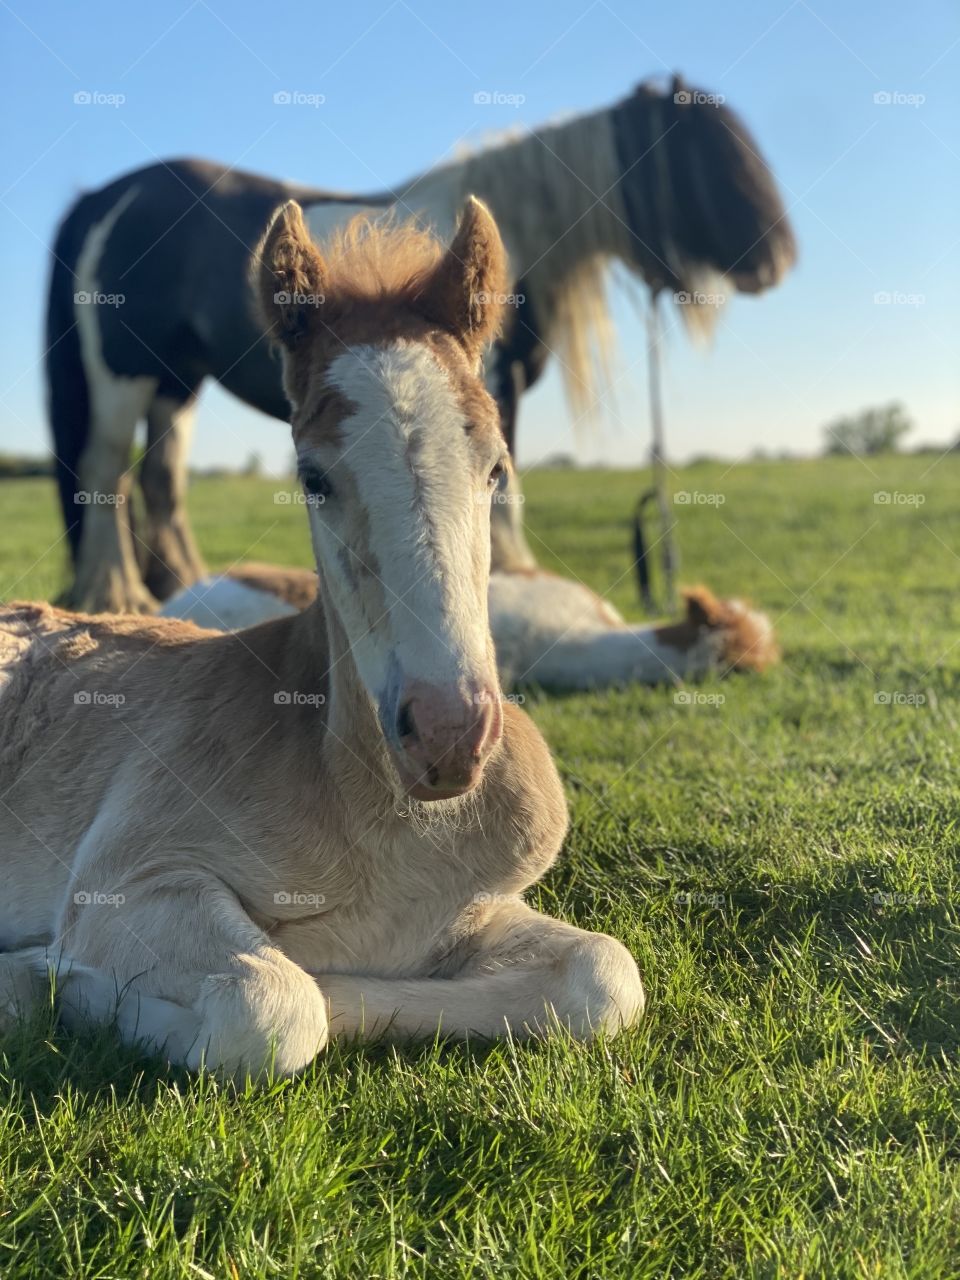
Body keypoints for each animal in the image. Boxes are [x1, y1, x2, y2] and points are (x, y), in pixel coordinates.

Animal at [0, 198, 644, 1078]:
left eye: (496, 468)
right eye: (313, 476)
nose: (448, 735)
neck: (378, 821)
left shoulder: (476, 907)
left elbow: (606, 975)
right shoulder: (130, 877)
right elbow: (276, 1005)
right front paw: (42, 980)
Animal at [46, 75, 796, 615]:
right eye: (710, 152)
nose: (778, 262)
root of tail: (106, 195)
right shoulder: (494, 384)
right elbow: (507, 487)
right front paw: (512, 573)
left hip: (175, 382)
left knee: (159, 480)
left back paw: (184, 586)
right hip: (124, 378)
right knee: (103, 474)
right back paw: (119, 597)